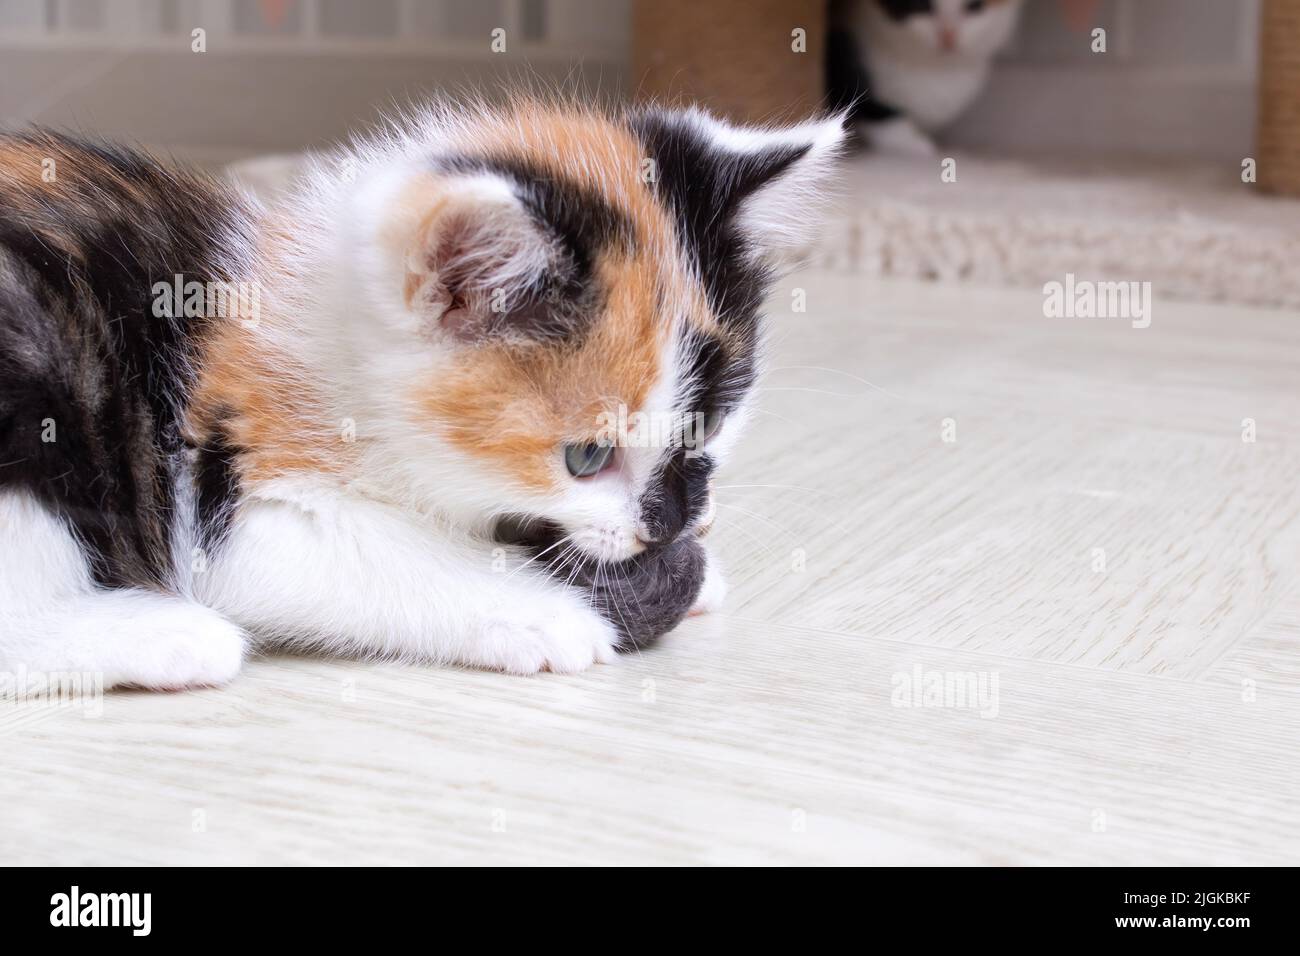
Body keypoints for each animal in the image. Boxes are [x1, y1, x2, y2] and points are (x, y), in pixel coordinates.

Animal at [0, 98, 842, 686]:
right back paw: (167, 637)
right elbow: (365, 551)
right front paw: (541, 614)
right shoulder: (234, 481)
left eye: (713, 425)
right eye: (585, 457)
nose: (669, 522)